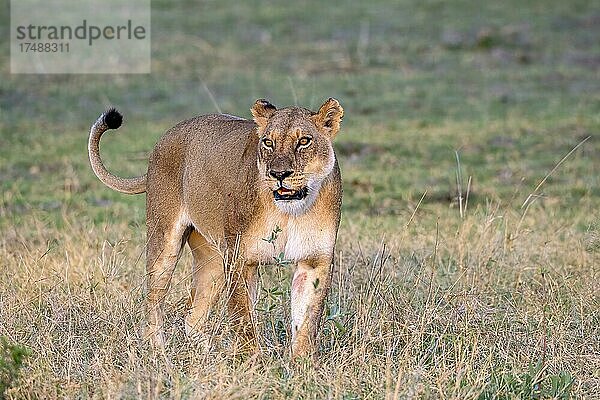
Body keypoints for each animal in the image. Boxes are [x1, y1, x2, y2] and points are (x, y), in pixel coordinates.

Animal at [86, 97, 344, 360]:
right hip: (165, 242)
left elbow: (307, 322)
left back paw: (208, 353)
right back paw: (158, 351)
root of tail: (166, 136)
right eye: (268, 142)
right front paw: (252, 362)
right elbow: (243, 318)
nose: (278, 174)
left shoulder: (314, 261)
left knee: (192, 317)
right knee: (154, 301)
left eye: (304, 141)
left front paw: (301, 364)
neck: (290, 211)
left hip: (214, 258)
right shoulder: (240, 259)